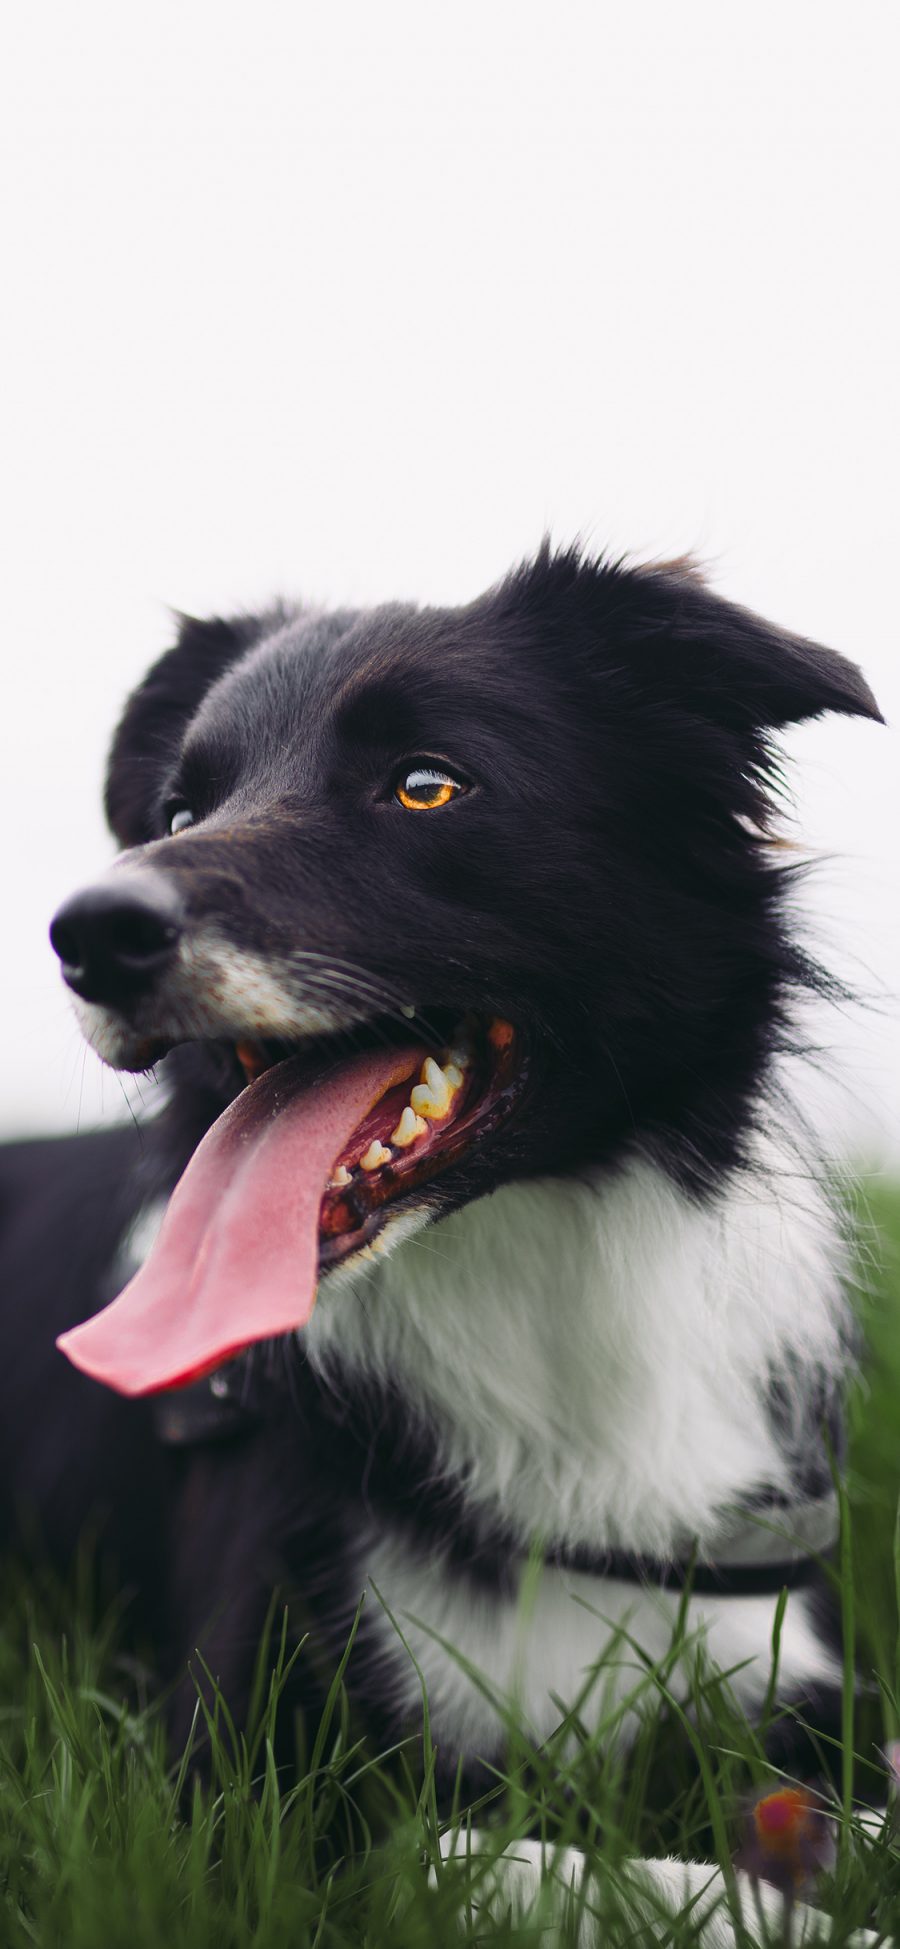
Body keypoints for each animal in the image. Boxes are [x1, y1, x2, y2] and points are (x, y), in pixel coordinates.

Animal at [0, 545, 884, 1933]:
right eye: (178, 809)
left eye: (427, 784)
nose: (87, 934)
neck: (533, 1292)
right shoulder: (239, 1789)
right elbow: (567, 1862)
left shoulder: (794, 1669)